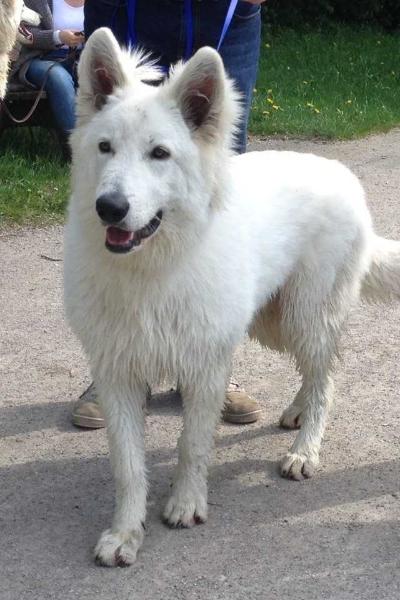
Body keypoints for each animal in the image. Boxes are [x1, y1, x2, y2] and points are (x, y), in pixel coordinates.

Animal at [64, 29, 400, 568]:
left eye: (160, 154)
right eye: (105, 147)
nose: (109, 208)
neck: (154, 268)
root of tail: (341, 172)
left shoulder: (206, 368)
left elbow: (192, 444)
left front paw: (185, 502)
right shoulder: (117, 374)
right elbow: (128, 466)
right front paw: (125, 532)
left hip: (305, 316)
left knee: (327, 377)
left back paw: (305, 448)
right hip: (272, 322)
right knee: (314, 373)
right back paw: (297, 412)